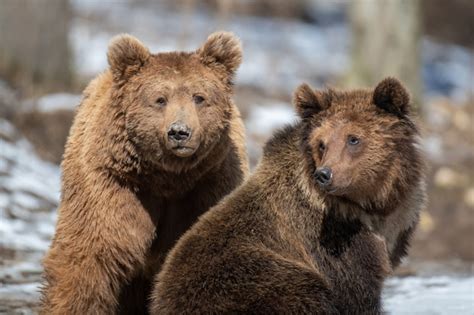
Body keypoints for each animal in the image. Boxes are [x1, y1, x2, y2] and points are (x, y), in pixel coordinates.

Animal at [40, 30, 248, 314]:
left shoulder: (209, 185)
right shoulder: (113, 183)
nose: (179, 132)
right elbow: (91, 251)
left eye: (199, 97)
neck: (167, 177)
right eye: (160, 99)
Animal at [151, 78, 426, 314]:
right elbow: (356, 294)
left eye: (353, 139)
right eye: (322, 143)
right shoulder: (332, 245)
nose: (325, 174)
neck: (369, 206)